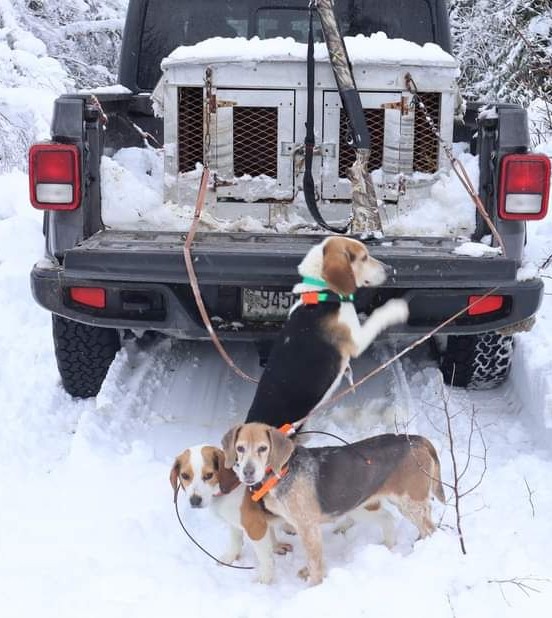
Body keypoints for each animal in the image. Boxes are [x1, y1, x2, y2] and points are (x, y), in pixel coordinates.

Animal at [170, 444, 292, 583]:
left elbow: (265, 557)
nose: (195, 501)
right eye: (184, 475)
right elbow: (236, 543)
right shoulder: (235, 523)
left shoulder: (256, 528)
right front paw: (230, 559)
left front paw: (264, 580)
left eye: (209, 475)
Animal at [222, 423, 445, 586]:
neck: (283, 471)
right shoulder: (304, 528)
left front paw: (313, 588)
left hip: (411, 503)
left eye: (263, 448)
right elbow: (315, 560)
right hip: (366, 505)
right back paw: (388, 547)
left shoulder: (308, 527)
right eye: (240, 448)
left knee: (430, 530)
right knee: (390, 519)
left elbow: (315, 564)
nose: (247, 473)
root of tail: (415, 439)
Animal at [245, 236, 409, 428]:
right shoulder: (356, 340)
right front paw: (397, 308)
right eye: (364, 257)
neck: (322, 293)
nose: (389, 269)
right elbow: (377, 316)